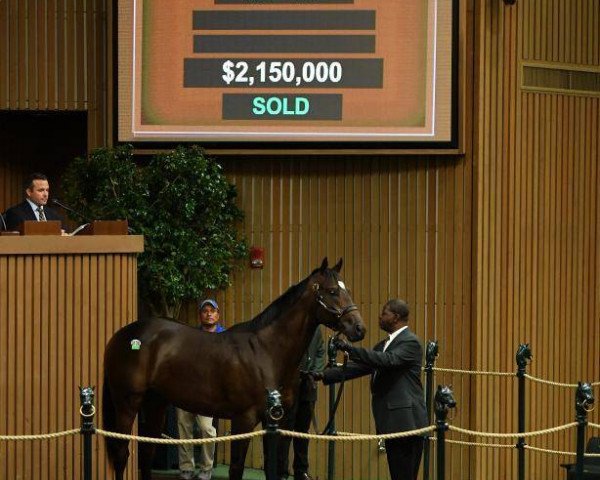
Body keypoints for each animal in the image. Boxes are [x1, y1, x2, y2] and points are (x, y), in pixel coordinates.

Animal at [103, 258, 366, 480]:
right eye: (332, 291)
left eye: (347, 289)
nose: (359, 328)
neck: (266, 351)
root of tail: (122, 335)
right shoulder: (244, 420)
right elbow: (236, 468)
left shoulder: (277, 422)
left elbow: (273, 469)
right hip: (127, 402)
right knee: (122, 453)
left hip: (155, 402)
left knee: (147, 451)